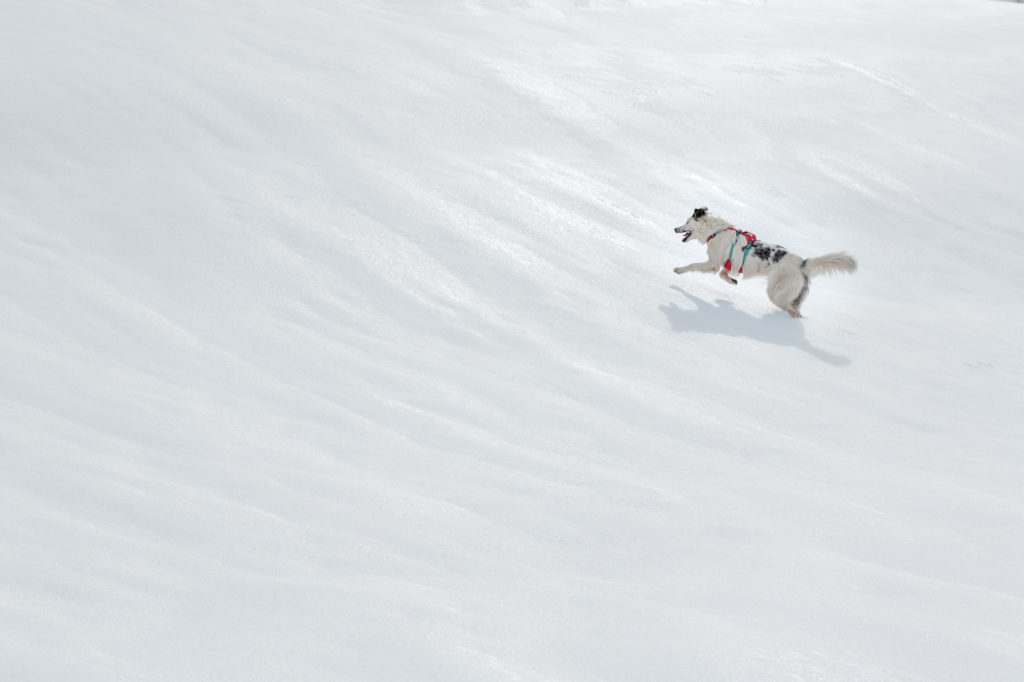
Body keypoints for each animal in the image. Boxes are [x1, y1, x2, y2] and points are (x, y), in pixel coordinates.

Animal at [671, 205, 856, 317]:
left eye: (687, 222)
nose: (674, 229)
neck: (715, 231)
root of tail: (802, 263)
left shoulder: (713, 263)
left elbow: (693, 265)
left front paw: (678, 270)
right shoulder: (725, 265)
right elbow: (724, 275)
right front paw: (732, 281)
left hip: (777, 291)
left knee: (791, 310)